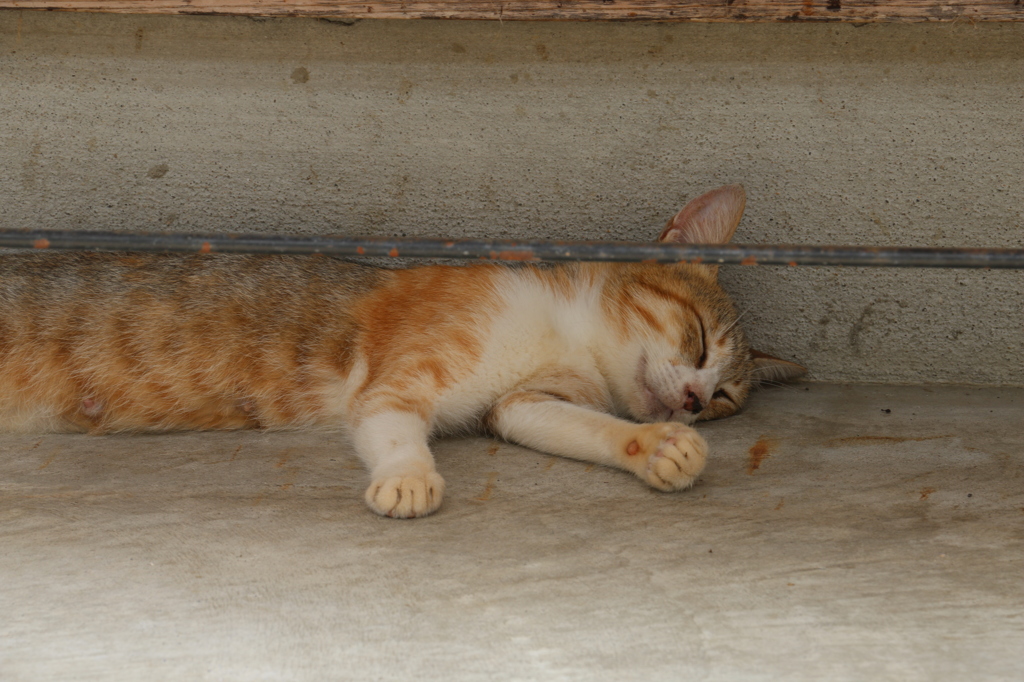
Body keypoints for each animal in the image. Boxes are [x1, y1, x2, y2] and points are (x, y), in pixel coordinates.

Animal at [0, 186, 798, 516]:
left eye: (725, 400)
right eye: (698, 337)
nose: (692, 400)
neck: (564, 332)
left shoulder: (524, 403)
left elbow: (582, 426)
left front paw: (659, 447)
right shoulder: (398, 377)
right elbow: (392, 426)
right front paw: (409, 477)